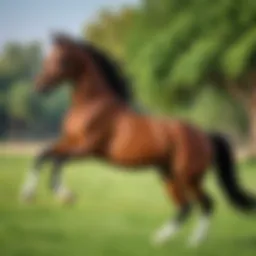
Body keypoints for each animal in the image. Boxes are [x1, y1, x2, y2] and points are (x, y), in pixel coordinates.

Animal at [20, 33, 256, 246]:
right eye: (47, 58)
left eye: (60, 59)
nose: (39, 86)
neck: (92, 106)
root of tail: (205, 135)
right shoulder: (69, 142)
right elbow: (42, 155)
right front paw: (28, 195)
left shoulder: (87, 149)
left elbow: (56, 161)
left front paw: (65, 196)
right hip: (169, 175)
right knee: (185, 207)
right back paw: (160, 239)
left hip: (189, 177)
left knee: (206, 204)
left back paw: (194, 243)